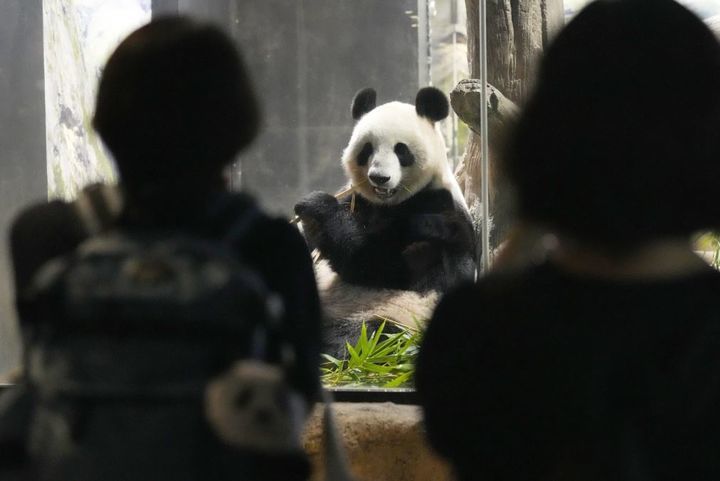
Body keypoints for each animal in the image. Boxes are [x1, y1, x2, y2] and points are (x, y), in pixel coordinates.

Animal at [296, 88, 476, 354]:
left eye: (401, 150)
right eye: (367, 149)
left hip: (399, 318)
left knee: (360, 338)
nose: (379, 178)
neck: (390, 203)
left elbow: (382, 265)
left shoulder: (437, 213)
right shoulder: (358, 199)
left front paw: (317, 207)